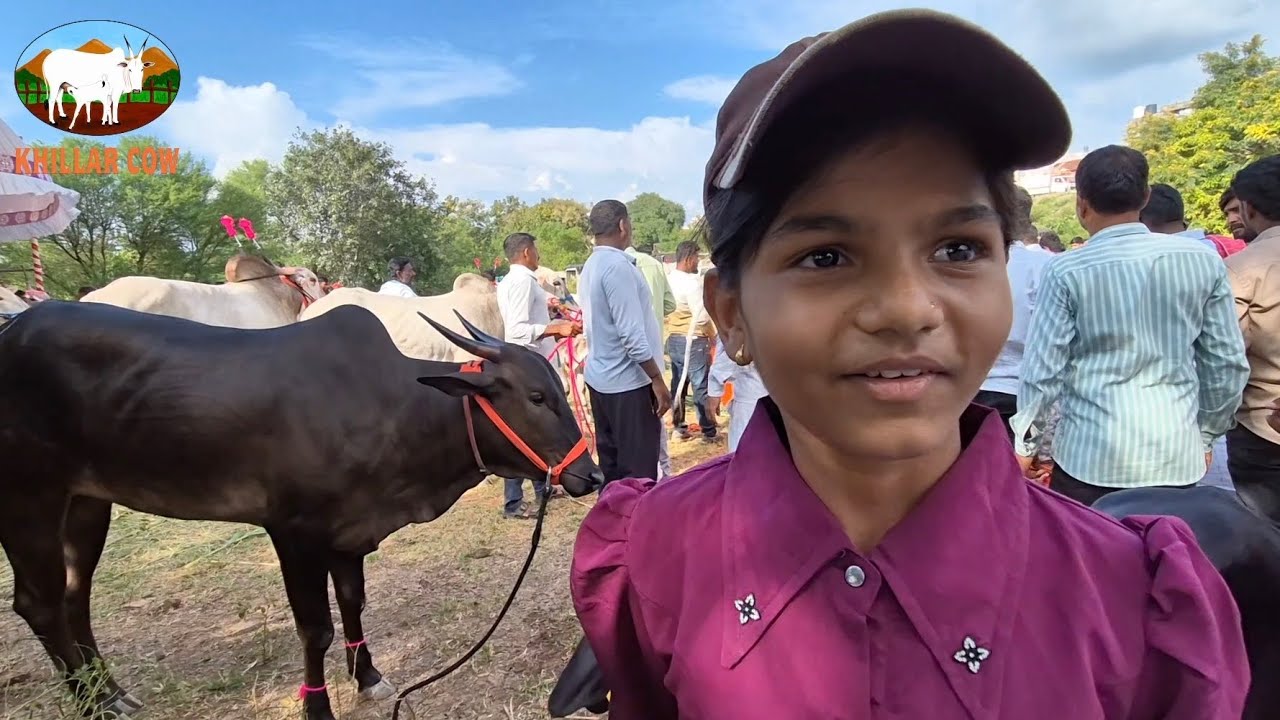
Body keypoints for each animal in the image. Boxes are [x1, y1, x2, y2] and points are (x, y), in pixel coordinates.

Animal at [0, 300, 604, 720]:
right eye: (535, 397)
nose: (592, 475)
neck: (392, 407)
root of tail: (13, 329)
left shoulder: (349, 534)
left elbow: (354, 602)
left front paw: (368, 676)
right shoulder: (293, 531)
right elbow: (316, 628)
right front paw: (318, 705)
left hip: (86, 503)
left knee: (75, 596)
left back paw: (112, 693)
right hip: (29, 498)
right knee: (40, 604)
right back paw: (93, 702)